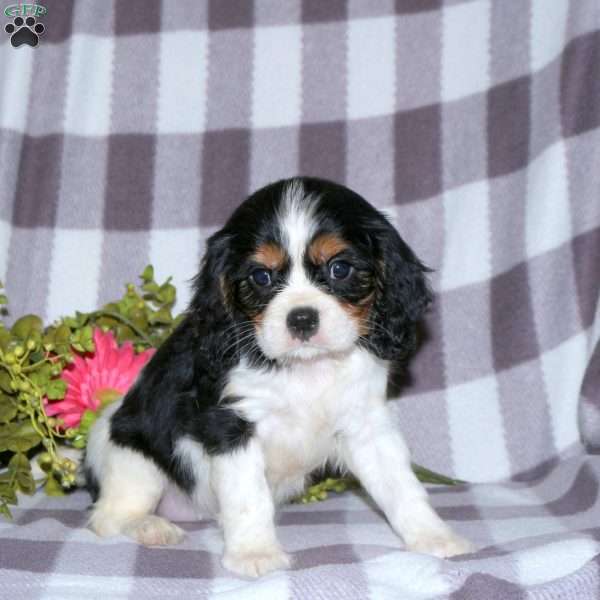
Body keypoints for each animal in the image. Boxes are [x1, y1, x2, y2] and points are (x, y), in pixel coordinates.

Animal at [84, 177, 472, 576]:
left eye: (340, 269)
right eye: (261, 276)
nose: (301, 318)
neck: (306, 367)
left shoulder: (367, 426)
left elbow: (402, 486)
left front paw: (433, 537)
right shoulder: (231, 426)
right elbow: (247, 497)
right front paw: (255, 553)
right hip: (133, 461)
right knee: (107, 518)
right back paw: (150, 526)